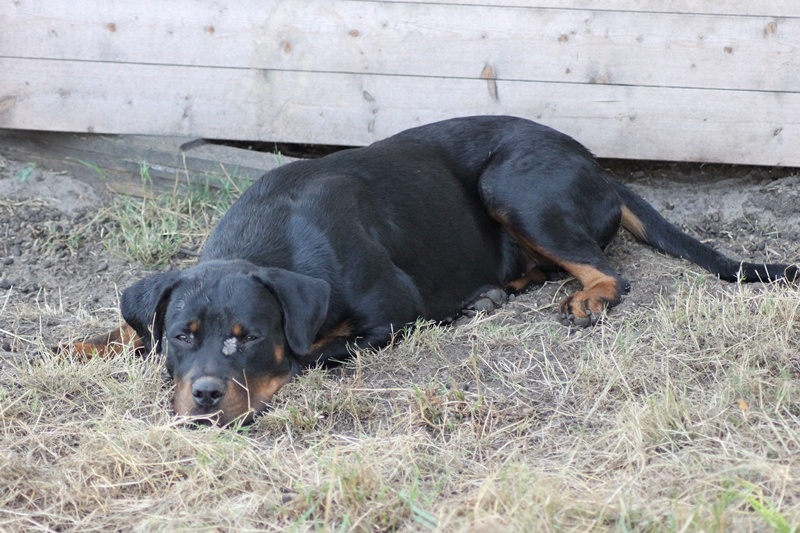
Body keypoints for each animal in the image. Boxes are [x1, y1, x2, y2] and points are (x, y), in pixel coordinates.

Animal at [92, 115, 792, 424]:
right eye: (181, 336)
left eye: (251, 338)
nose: (206, 397)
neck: (273, 239)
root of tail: (599, 167)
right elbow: (125, 326)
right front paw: (93, 342)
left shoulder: (390, 315)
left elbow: (314, 351)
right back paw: (494, 292)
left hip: (513, 185)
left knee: (605, 270)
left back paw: (583, 297)